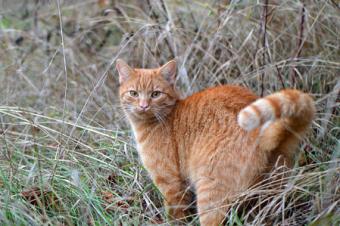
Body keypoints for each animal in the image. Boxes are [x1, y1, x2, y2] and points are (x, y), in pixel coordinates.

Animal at [115, 59, 314, 225]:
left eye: (155, 94)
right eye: (134, 93)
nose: (143, 106)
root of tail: (264, 131)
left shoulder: (171, 184)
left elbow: (176, 216)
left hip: (210, 193)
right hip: (268, 194)